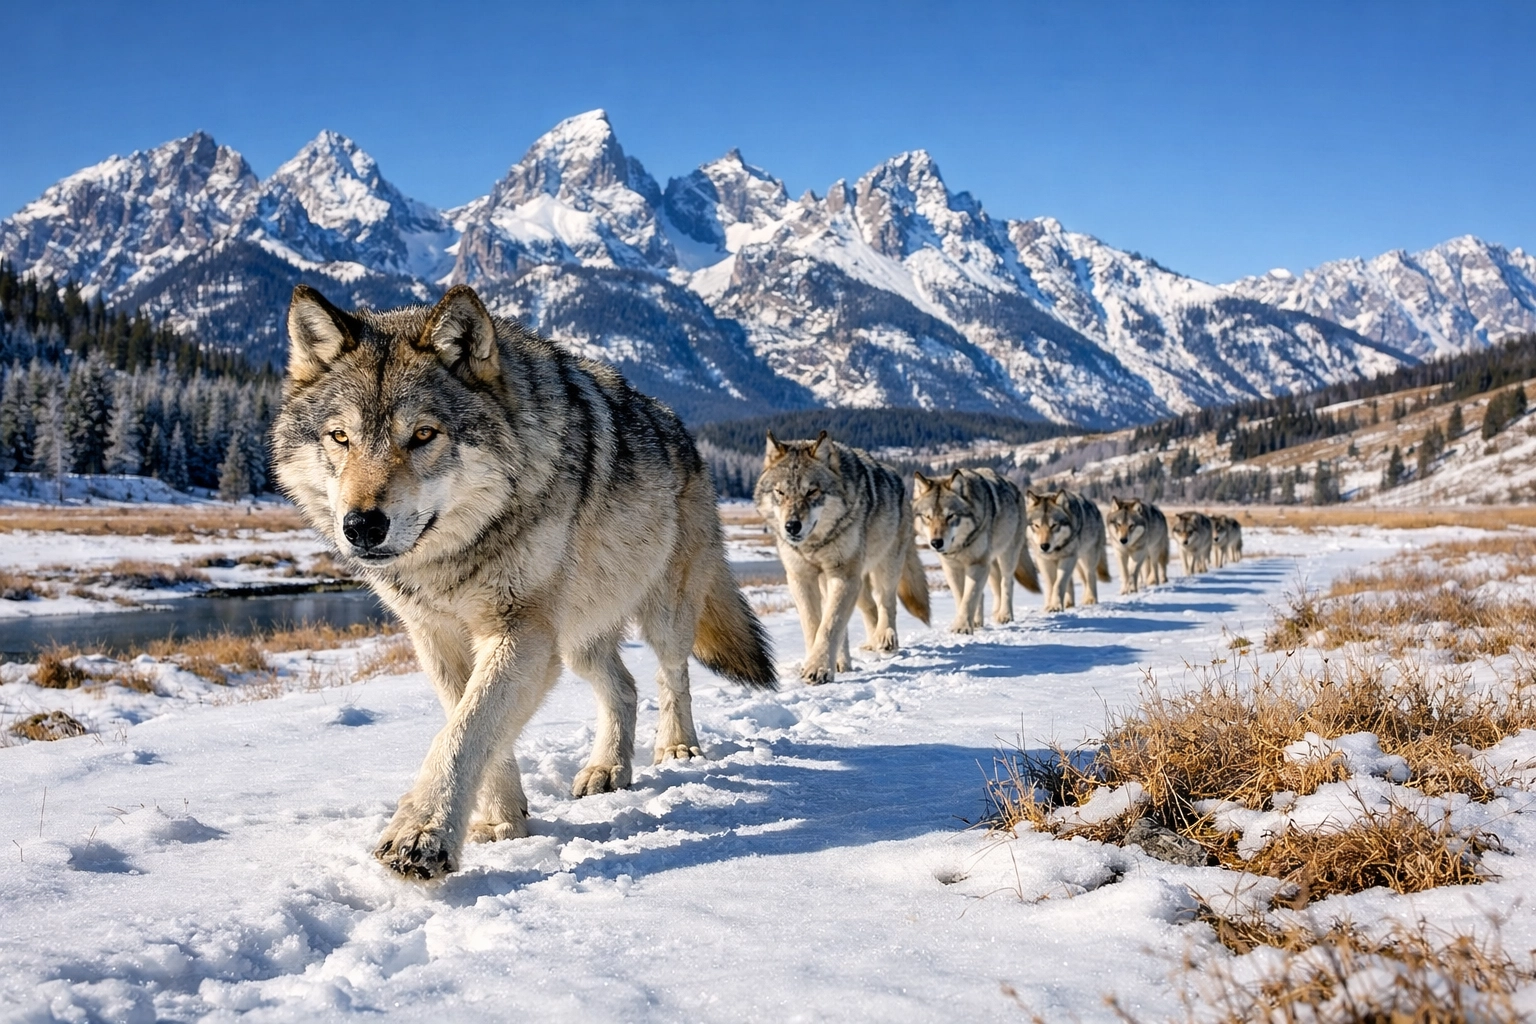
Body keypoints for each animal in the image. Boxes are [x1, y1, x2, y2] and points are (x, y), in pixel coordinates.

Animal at [271, 284, 775, 880]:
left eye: (423, 435)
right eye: (340, 437)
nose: (362, 526)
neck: (454, 557)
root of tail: (684, 433)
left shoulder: (521, 631)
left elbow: (466, 731)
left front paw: (421, 835)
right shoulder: (437, 637)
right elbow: (473, 723)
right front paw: (502, 821)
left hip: (662, 617)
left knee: (670, 676)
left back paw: (677, 750)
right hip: (579, 638)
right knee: (624, 687)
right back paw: (608, 769)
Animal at [754, 432, 930, 684]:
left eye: (812, 491)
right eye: (780, 493)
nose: (792, 526)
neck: (814, 545)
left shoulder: (844, 575)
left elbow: (830, 625)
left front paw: (817, 668)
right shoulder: (801, 578)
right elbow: (815, 625)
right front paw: (821, 664)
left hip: (884, 567)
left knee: (886, 602)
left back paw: (885, 639)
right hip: (848, 582)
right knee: (868, 608)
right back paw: (852, 656)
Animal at [912, 468, 1039, 632]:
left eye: (950, 516)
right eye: (928, 517)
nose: (936, 543)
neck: (960, 546)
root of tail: (1014, 486)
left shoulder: (977, 564)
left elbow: (969, 597)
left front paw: (962, 627)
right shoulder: (952, 568)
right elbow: (962, 597)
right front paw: (968, 623)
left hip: (1006, 556)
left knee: (1006, 583)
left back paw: (1004, 615)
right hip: (990, 565)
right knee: (992, 589)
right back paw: (984, 619)